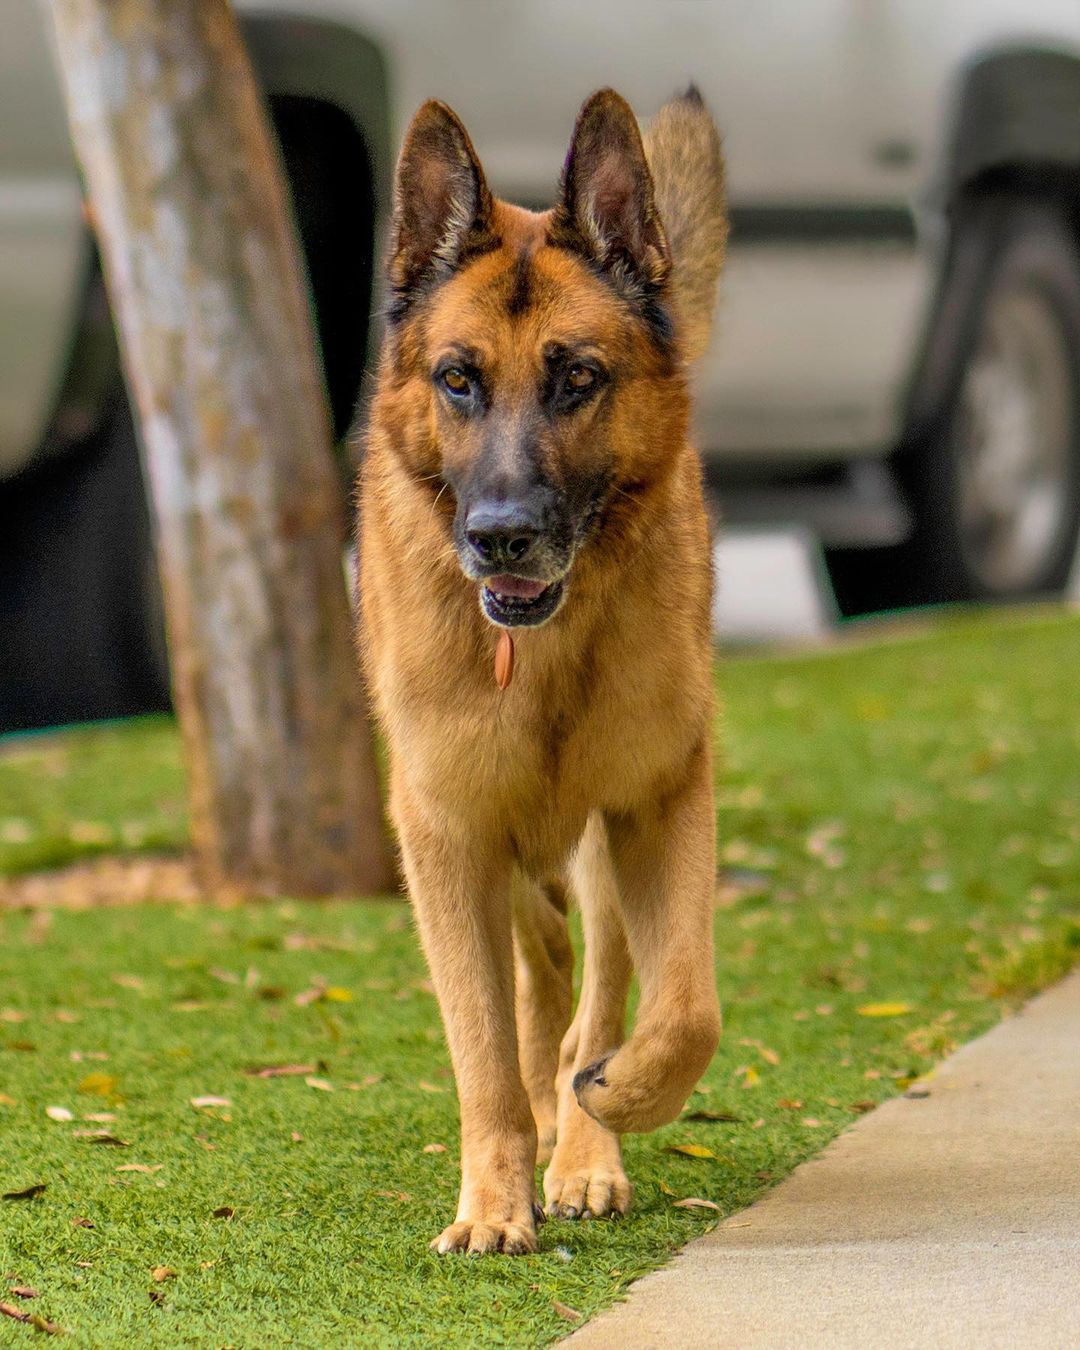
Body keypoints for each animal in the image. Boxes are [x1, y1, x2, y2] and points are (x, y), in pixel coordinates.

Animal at [361, 92, 723, 1252]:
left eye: (578, 380)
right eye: (457, 379)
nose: (500, 537)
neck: (548, 659)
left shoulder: (660, 802)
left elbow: (684, 1010)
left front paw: (616, 1100)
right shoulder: (444, 835)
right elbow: (479, 1047)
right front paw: (491, 1201)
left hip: (603, 851)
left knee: (594, 992)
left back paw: (585, 1146)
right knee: (538, 979)